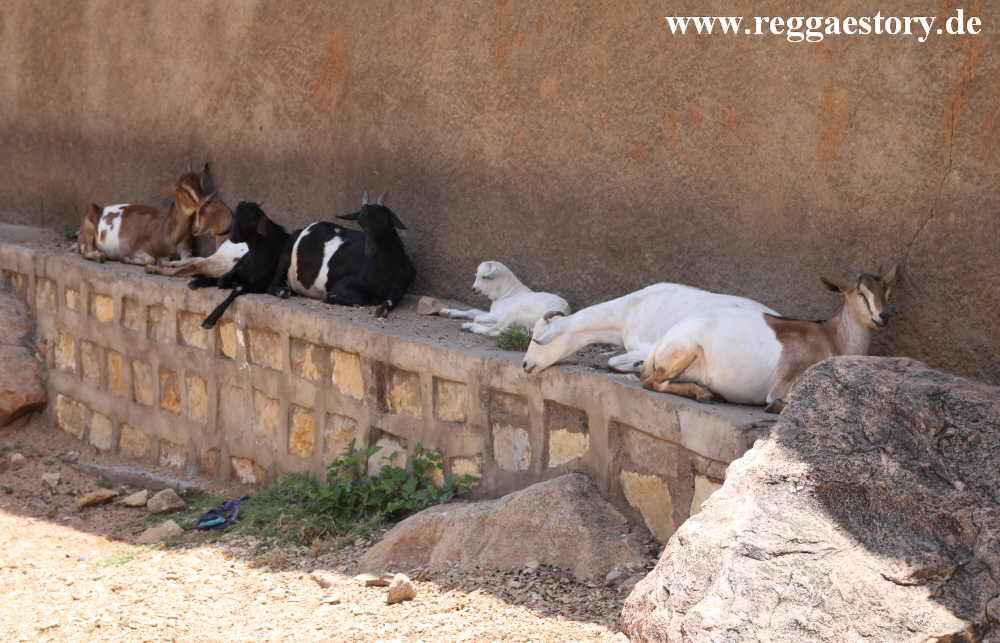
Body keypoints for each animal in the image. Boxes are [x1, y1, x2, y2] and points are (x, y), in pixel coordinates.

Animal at [76, 167, 206, 266]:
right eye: (184, 190)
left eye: (200, 183)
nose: (204, 202)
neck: (167, 229)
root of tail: (100, 209)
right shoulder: (139, 248)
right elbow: (151, 260)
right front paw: (126, 259)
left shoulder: (186, 250)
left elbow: (194, 259)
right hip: (89, 226)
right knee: (84, 250)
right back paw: (99, 256)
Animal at [276, 191, 415, 318]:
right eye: (360, 222)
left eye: (385, 220)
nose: (370, 249)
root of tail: (303, 229)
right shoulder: (341, 286)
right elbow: (348, 298)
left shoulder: (399, 289)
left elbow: (389, 301)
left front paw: (381, 309)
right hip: (285, 255)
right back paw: (282, 291)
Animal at [439, 261, 570, 336]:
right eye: (476, 276)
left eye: (485, 277)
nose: (473, 289)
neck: (508, 293)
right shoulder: (494, 312)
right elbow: (472, 311)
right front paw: (449, 312)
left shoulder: (499, 314)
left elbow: (478, 317)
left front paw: (478, 321)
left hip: (517, 314)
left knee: (495, 330)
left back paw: (470, 326)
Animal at [522, 283, 777, 374]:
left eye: (538, 339)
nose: (525, 365)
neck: (628, 312)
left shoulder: (649, 344)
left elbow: (613, 361)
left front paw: (637, 364)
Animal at [640, 265, 899, 412]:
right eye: (860, 293)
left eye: (887, 292)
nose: (883, 316)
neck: (830, 337)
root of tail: (659, 344)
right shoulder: (783, 384)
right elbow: (778, 403)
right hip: (686, 351)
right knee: (653, 382)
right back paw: (704, 393)